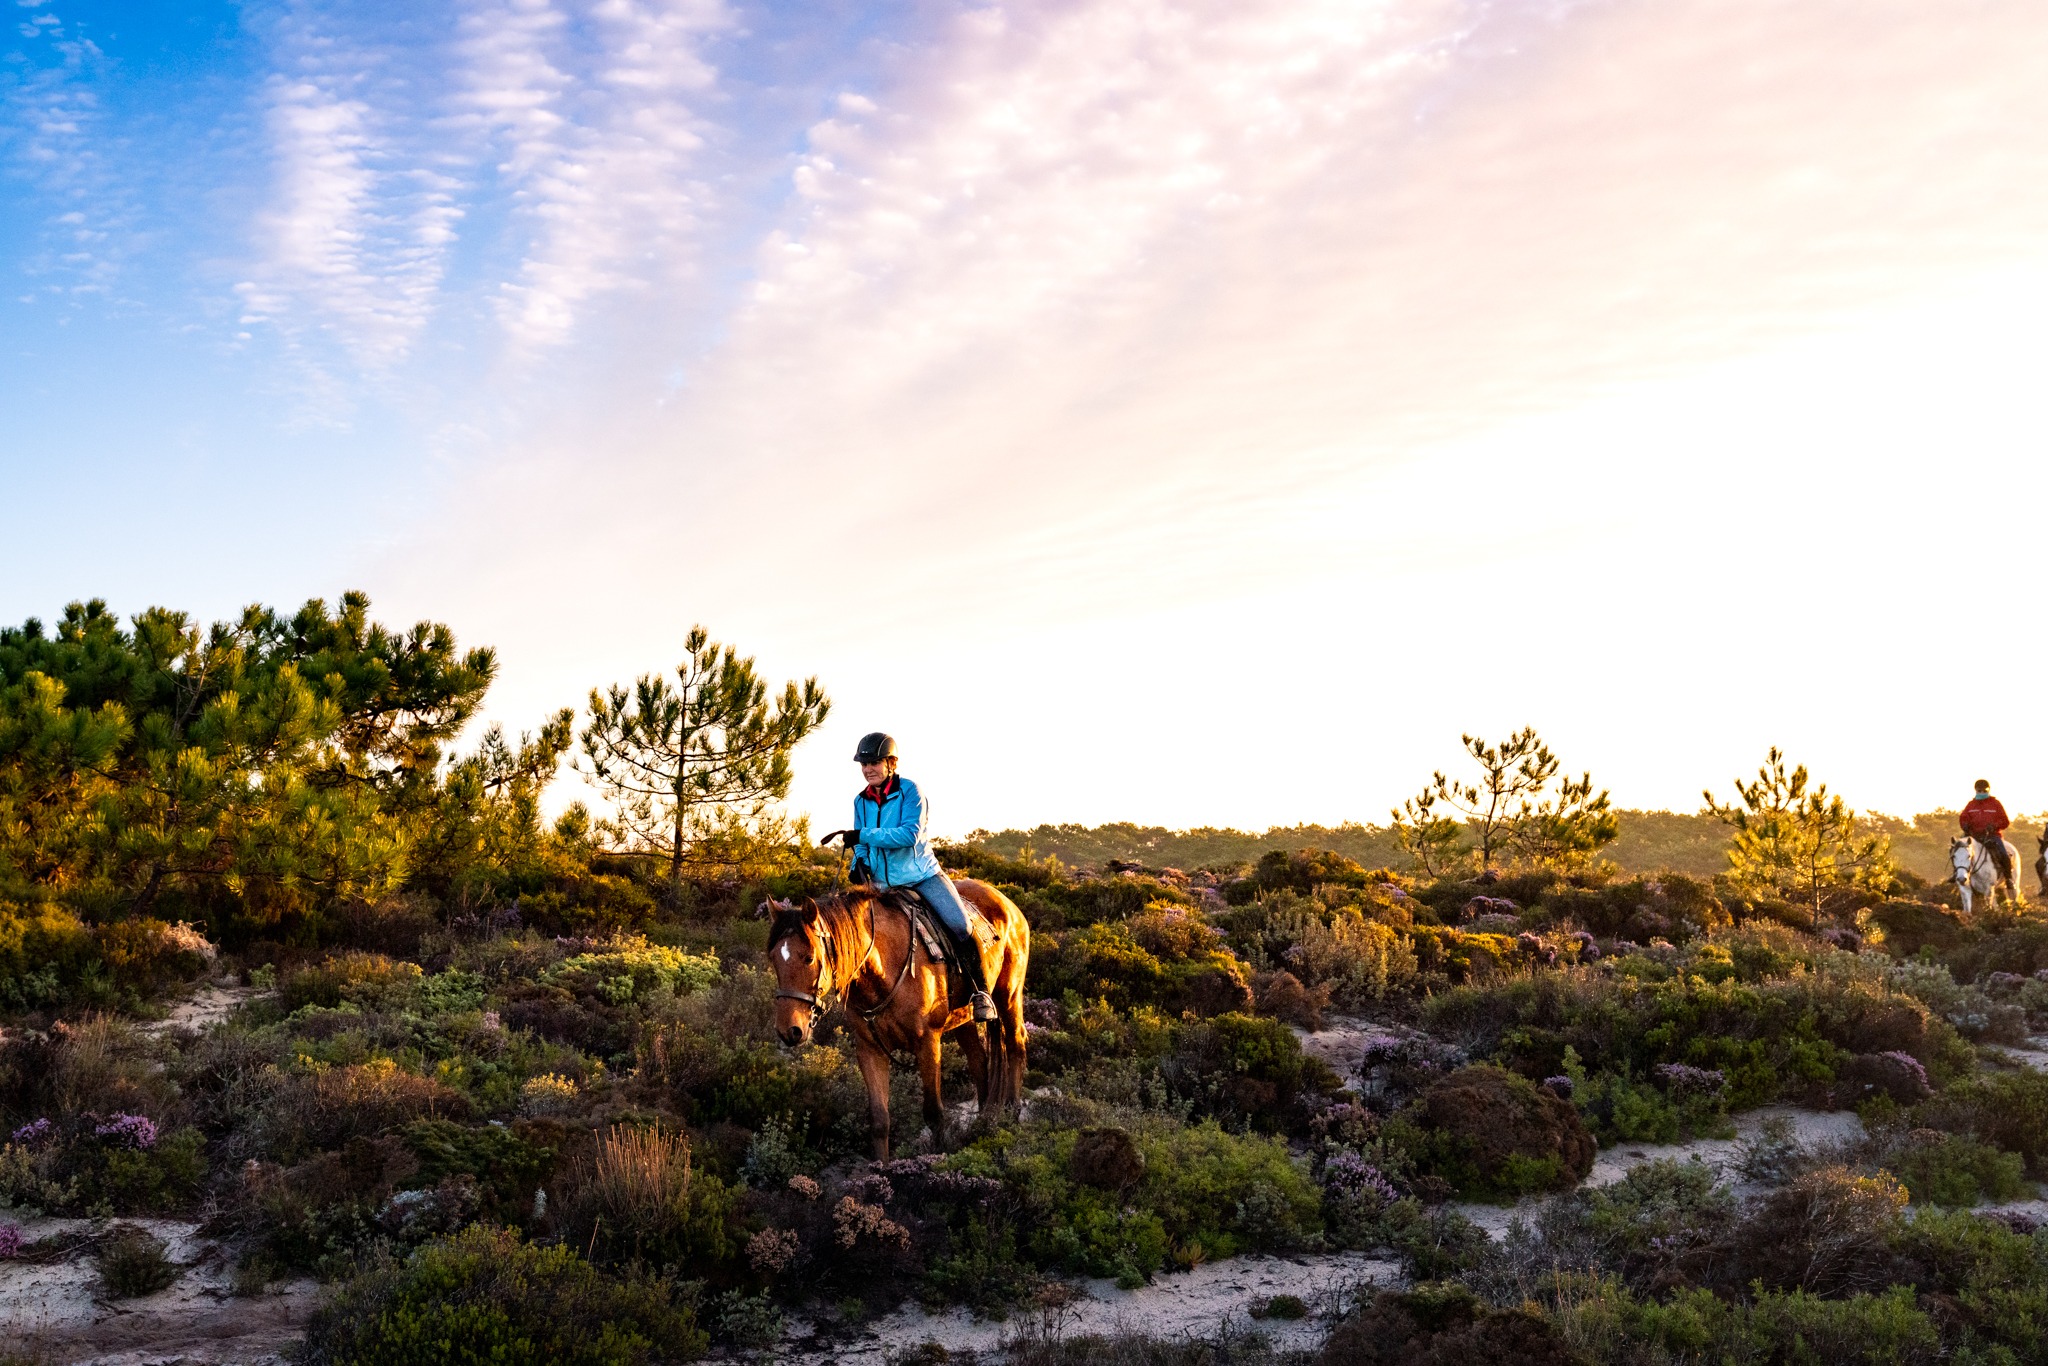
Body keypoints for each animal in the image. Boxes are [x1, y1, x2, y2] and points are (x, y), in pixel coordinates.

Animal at [766, 881, 1030, 1158]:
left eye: (809, 957)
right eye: (773, 958)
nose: (789, 1030)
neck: (885, 970)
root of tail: (1006, 901)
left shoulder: (928, 1044)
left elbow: (934, 1113)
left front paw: (937, 1156)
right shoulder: (870, 1051)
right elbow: (880, 1120)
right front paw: (881, 1167)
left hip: (1009, 996)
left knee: (1015, 1044)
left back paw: (1012, 1113)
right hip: (963, 1019)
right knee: (979, 1061)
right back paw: (982, 1122)